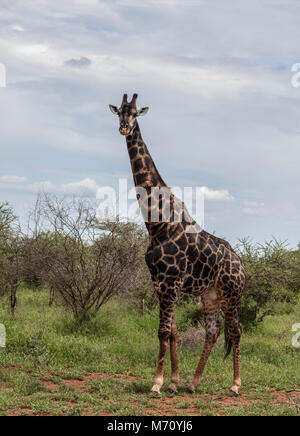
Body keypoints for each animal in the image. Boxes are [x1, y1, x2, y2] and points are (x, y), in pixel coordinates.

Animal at [109, 93, 245, 396]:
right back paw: (194, 383)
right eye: (119, 112)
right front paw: (173, 381)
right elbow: (172, 330)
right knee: (213, 332)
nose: (123, 127)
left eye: (135, 112)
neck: (157, 223)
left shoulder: (170, 282)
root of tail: (241, 264)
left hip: (232, 294)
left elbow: (162, 331)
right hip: (210, 295)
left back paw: (235, 385)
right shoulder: (159, 282)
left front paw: (157, 383)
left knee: (236, 331)